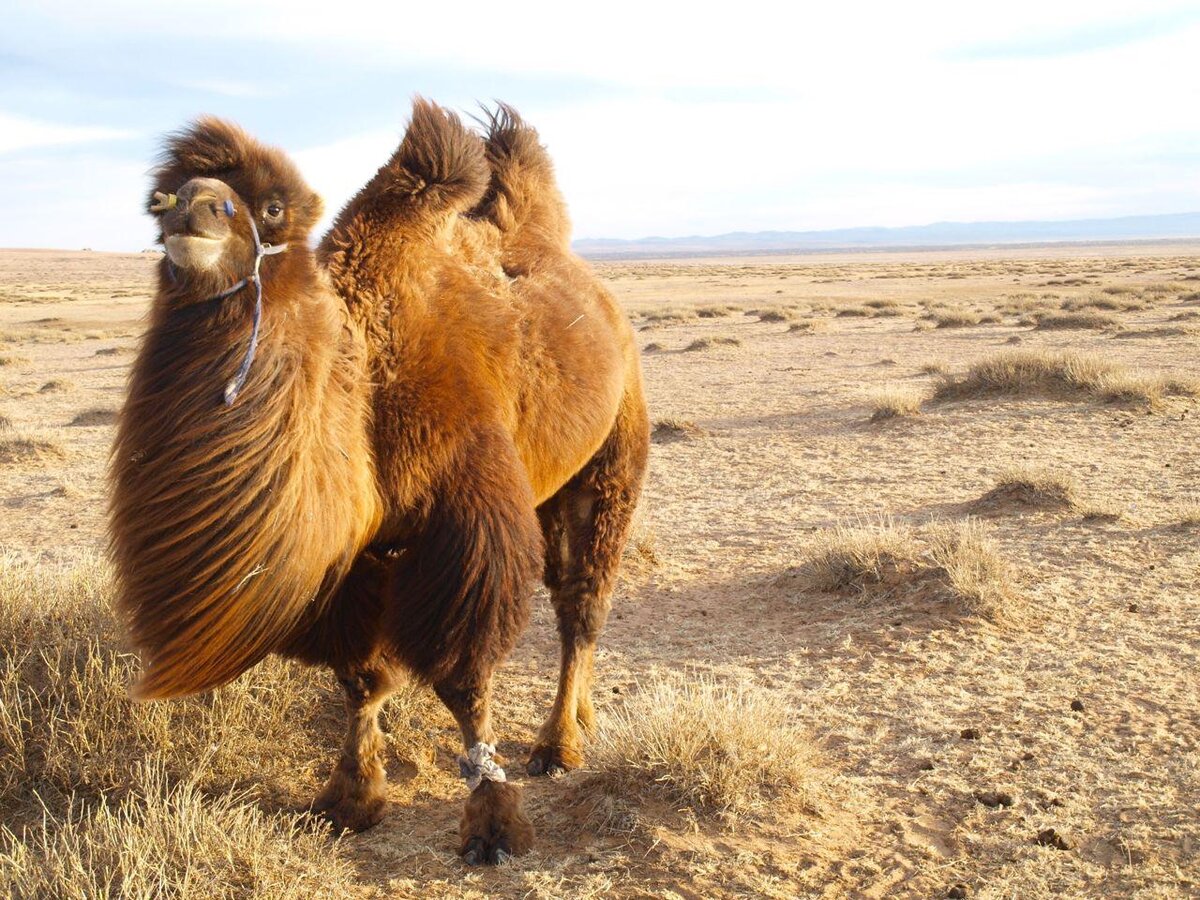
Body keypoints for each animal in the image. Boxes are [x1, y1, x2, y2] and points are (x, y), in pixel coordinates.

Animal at [110, 100, 648, 868]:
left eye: (271, 208)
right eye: (162, 199)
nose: (192, 208)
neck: (364, 378)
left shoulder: (467, 519)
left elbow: (464, 677)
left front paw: (492, 825)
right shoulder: (358, 554)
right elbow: (359, 676)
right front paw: (350, 798)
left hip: (614, 450)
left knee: (583, 602)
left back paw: (559, 744)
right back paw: (582, 719)